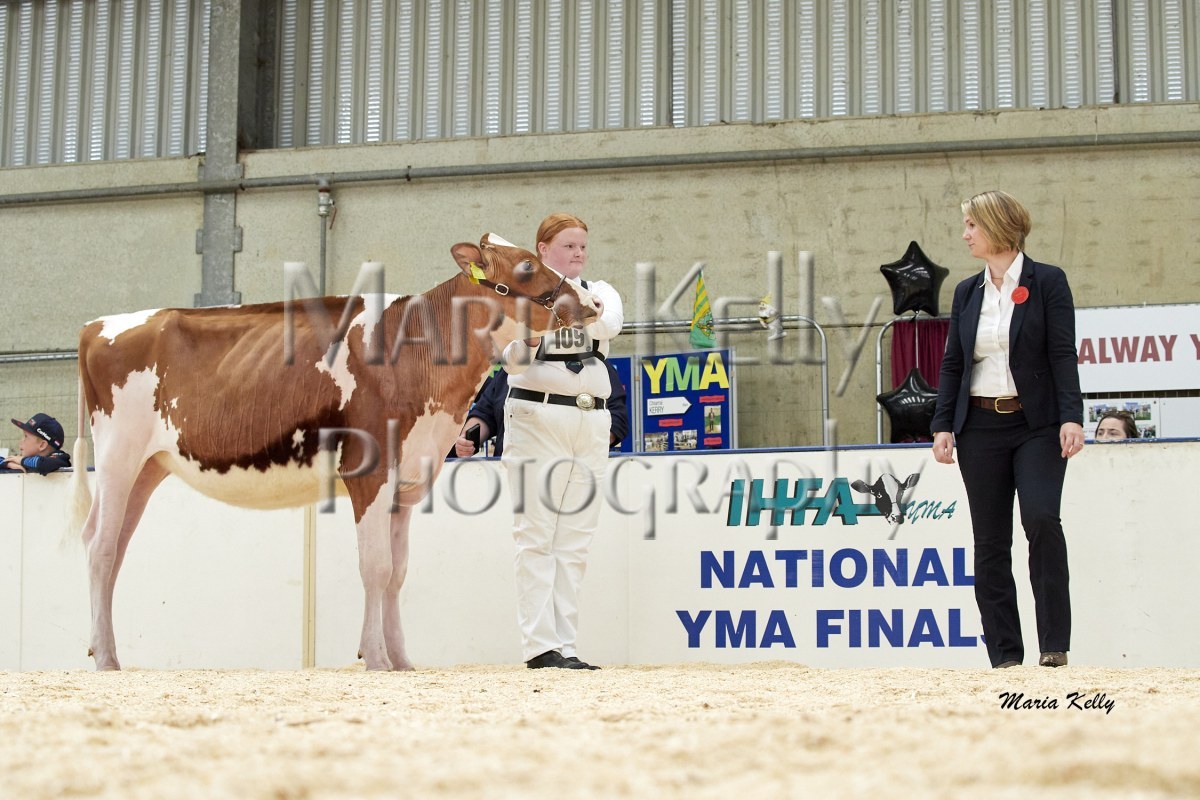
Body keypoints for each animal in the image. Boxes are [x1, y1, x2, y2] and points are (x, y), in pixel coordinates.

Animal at [70, 234, 599, 671]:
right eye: (527, 264)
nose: (592, 302)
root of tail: (98, 325)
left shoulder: (407, 481)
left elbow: (397, 573)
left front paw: (402, 660)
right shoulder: (368, 472)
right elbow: (375, 567)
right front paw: (376, 659)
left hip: (148, 467)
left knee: (112, 544)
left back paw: (104, 650)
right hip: (117, 455)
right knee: (99, 548)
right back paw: (106, 661)